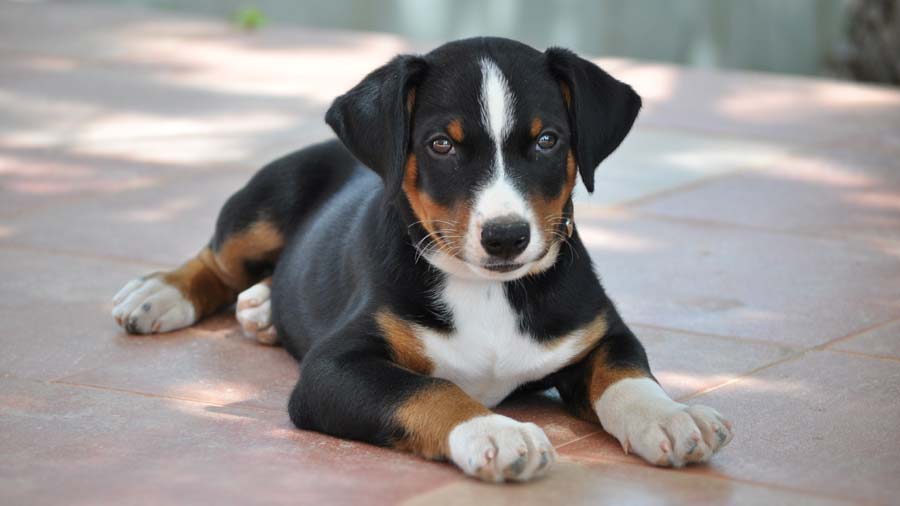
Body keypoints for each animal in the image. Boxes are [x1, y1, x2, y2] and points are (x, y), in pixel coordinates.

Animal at [112, 36, 732, 482]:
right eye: (441, 144)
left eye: (548, 140)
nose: (506, 237)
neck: (486, 290)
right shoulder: (332, 368)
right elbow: (429, 390)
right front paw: (494, 432)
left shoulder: (599, 331)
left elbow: (627, 375)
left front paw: (671, 417)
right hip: (265, 203)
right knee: (218, 259)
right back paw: (159, 293)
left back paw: (263, 308)